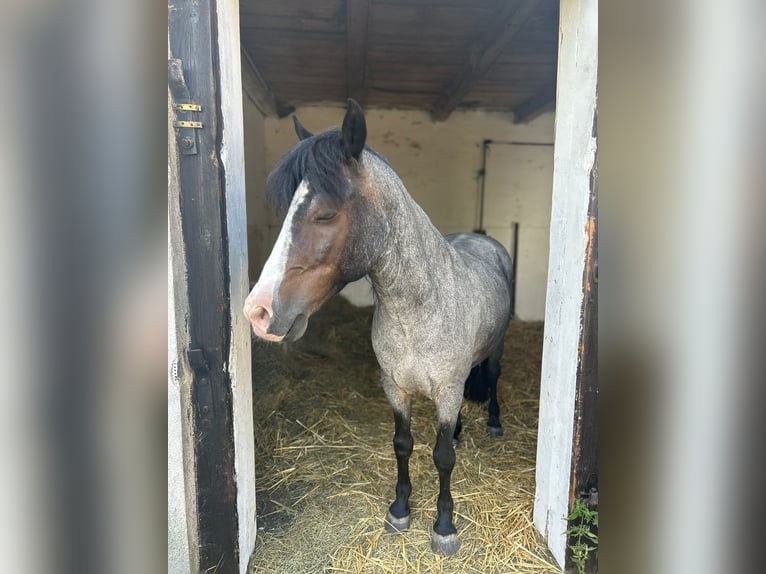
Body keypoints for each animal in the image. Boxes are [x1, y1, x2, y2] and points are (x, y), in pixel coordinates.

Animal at [243, 100, 512, 560]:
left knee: (491, 378)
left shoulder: (446, 391)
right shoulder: (396, 388)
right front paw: (400, 509)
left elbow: (442, 457)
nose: (257, 312)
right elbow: (403, 444)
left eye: (325, 213)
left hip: (493, 353)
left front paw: (444, 526)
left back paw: (491, 423)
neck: (418, 313)